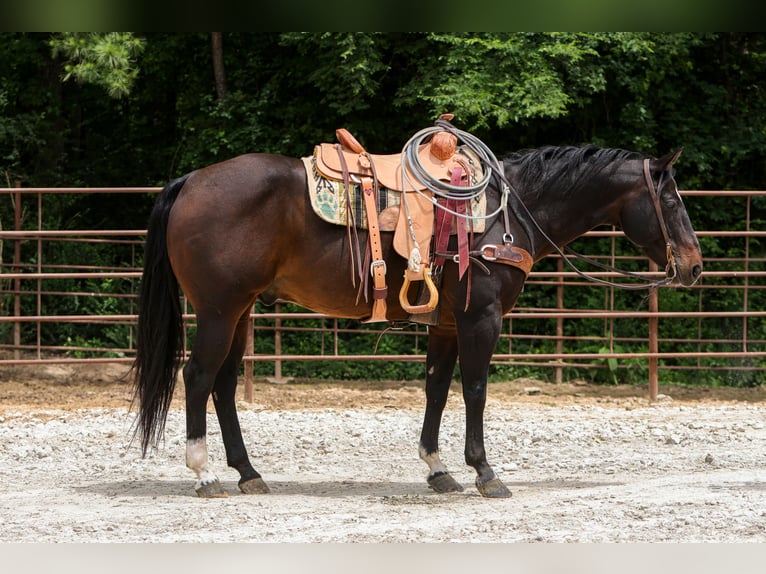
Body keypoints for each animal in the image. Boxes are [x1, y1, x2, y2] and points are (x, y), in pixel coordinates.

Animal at [131, 127, 703, 499]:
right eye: (673, 200)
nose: (695, 266)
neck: (508, 212)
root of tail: (190, 181)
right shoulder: (480, 317)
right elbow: (475, 390)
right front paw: (485, 473)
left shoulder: (446, 323)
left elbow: (436, 389)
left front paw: (438, 469)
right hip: (218, 311)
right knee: (198, 377)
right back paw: (205, 476)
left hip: (242, 311)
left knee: (224, 385)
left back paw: (248, 474)